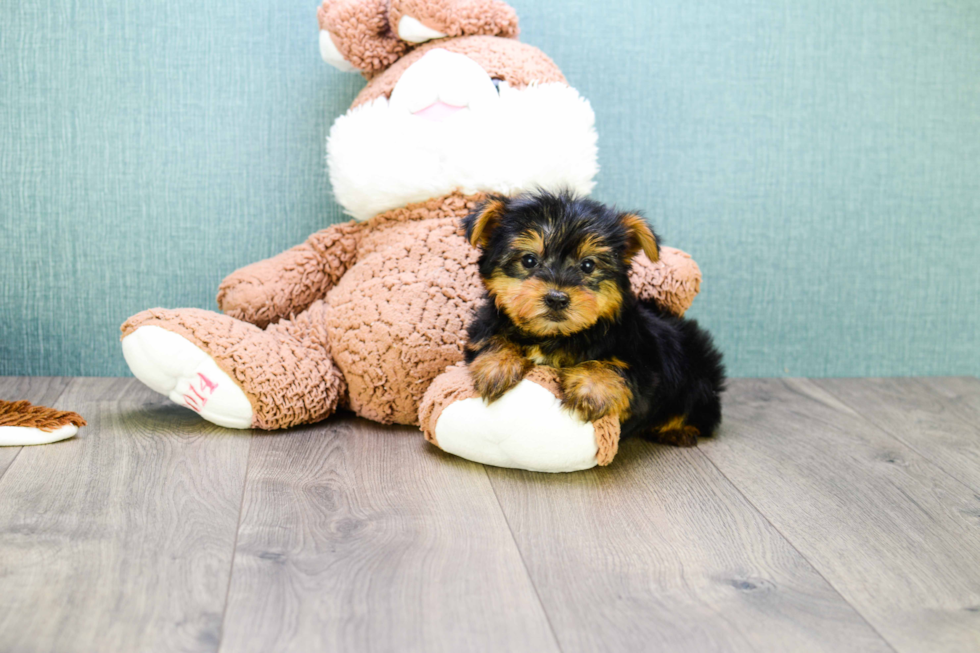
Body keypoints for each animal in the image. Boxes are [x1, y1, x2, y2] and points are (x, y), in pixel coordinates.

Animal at [464, 188, 724, 444]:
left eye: (588, 265)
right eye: (529, 260)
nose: (557, 298)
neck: (554, 335)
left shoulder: (645, 365)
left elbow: (620, 369)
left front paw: (592, 387)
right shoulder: (482, 329)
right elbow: (491, 339)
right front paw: (497, 365)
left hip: (697, 377)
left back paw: (677, 430)